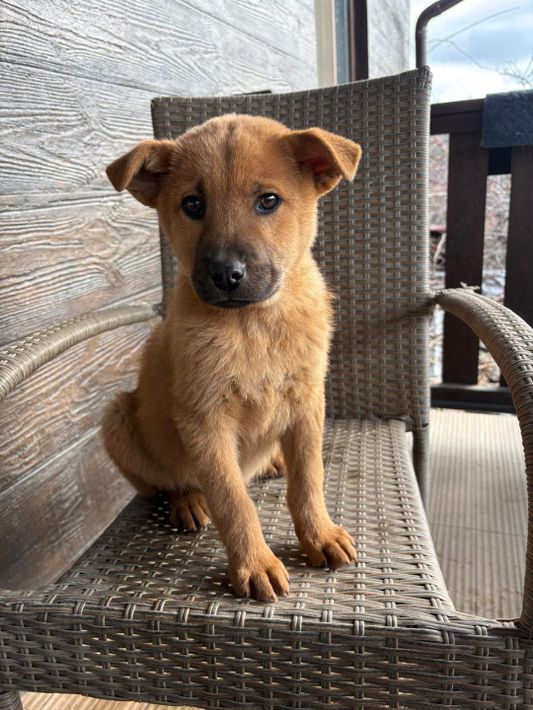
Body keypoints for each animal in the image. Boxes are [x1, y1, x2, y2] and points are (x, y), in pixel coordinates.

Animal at [102, 114, 361, 601]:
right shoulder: (205, 420)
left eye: (268, 201)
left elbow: (309, 479)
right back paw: (187, 500)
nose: (226, 274)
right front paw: (254, 563)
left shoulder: (306, 402)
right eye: (192, 204)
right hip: (118, 418)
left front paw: (319, 534)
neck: (253, 326)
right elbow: (232, 500)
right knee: (166, 481)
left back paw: (272, 461)